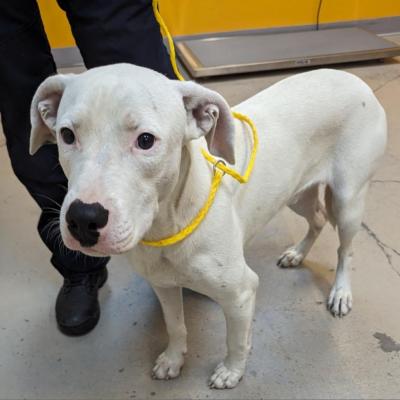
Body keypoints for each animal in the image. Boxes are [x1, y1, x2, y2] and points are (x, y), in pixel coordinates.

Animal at [29, 65, 386, 388]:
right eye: (67, 135)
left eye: (145, 140)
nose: (83, 218)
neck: (167, 225)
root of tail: (354, 80)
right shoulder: (164, 285)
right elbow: (175, 326)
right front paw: (173, 359)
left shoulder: (241, 293)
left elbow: (236, 340)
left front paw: (232, 372)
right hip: (295, 193)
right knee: (318, 218)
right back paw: (297, 253)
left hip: (348, 201)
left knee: (345, 249)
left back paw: (341, 292)